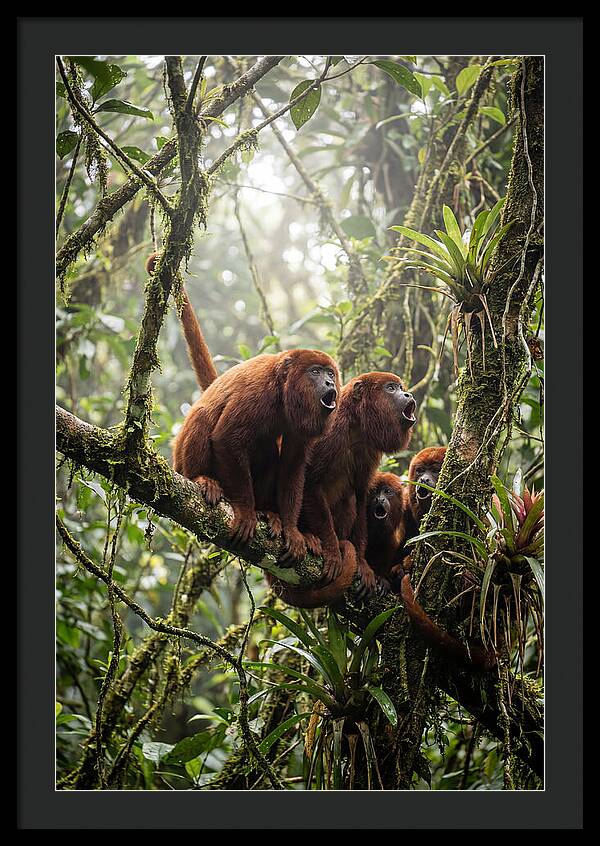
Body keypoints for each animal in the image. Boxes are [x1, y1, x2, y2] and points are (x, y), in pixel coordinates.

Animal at [147, 252, 341, 559]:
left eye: (330, 373)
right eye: (314, 372)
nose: (330, 383)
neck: (283, 391)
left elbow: (292, 466)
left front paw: (291, 529)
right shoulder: (258, 392)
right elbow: (226, 437)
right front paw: (247, 512)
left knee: (269, 451)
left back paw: (269, 514)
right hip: (181, 462)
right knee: (203, 417)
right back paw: (204, 480)